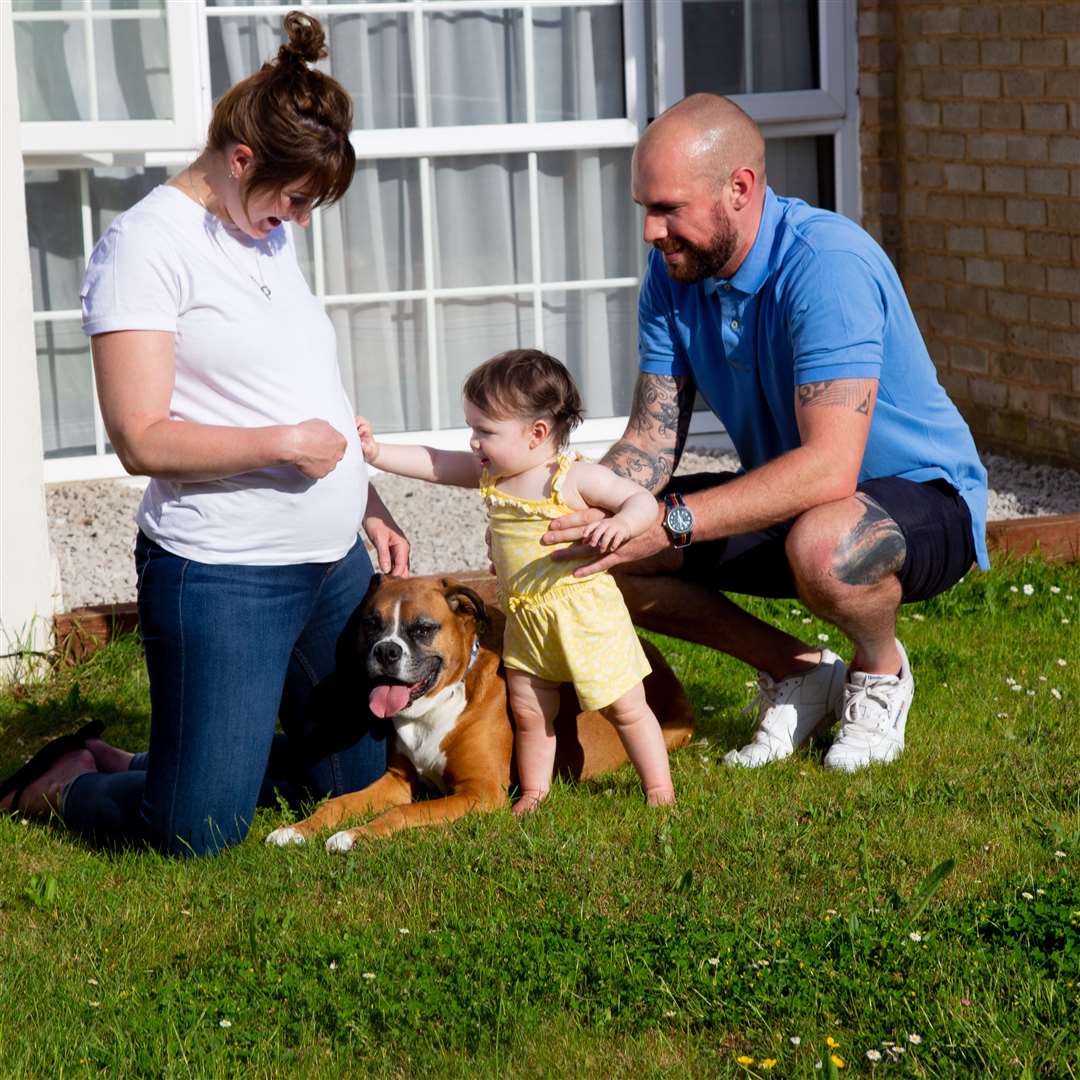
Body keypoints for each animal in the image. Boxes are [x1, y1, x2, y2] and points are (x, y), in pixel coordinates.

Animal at [265, 574, 695, 851]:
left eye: (422, 629)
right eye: (372, 623)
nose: (385, 650)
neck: (437, 704)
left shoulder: (480, 792)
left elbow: (400, 815)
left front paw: (353, 836)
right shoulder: (398, 781)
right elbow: (338, 803)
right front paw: (298, 830)